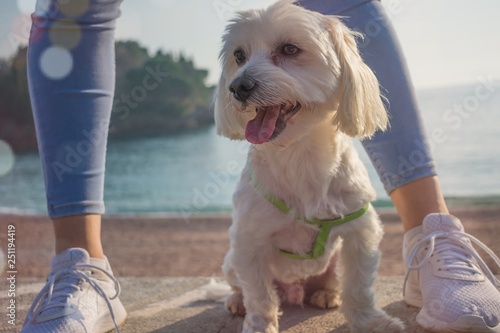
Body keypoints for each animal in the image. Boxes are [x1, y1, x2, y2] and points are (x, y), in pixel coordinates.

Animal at [215, 1, 406, 330]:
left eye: (290, 49)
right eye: (239, 56)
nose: (237, 86)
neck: (299, 154)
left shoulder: (360, 230)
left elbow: (359, 286)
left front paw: (370, 322)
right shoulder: (248, 242)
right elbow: (259, 295)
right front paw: (260, 324)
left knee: (331, 279)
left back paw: (327, 293)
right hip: (230, 260)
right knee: (240, 285)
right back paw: (236, 301)